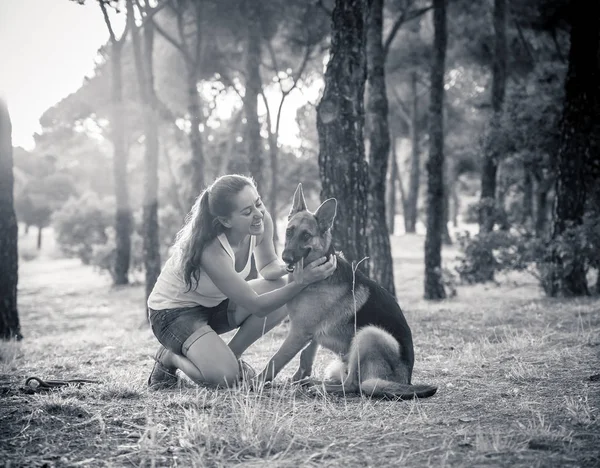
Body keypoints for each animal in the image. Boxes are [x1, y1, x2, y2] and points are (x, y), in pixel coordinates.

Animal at [255, 184, 438, 398]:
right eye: (289, 232)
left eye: (306, 235)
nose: (286, 258)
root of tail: (405, 379)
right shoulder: (309, 332)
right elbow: (306, 354)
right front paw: (298, 377)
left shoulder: (298, 332)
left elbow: (276, 360)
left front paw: (255, 381)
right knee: (346, 379)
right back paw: (313, 382)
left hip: (369, 334)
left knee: (353, 385)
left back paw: (321, 387)